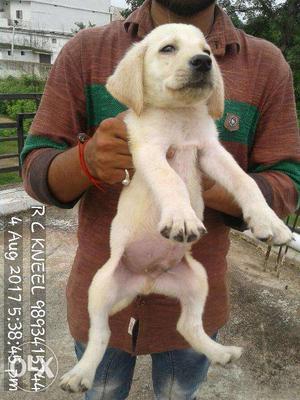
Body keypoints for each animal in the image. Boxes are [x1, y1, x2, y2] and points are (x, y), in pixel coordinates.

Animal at [59, 23, 292, 392]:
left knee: (187, 326)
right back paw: (81, 373)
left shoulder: (211, 151)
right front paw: (182, 218)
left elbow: (246, 181)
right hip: (100, 285)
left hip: (197, 279)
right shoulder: (148, 151)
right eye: (168, 49)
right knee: (101, 334)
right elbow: (172, 181)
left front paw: (270, 222)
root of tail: (146, 281)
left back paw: (219, 352)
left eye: (207, 51)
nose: (203, 62)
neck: (180, 116)